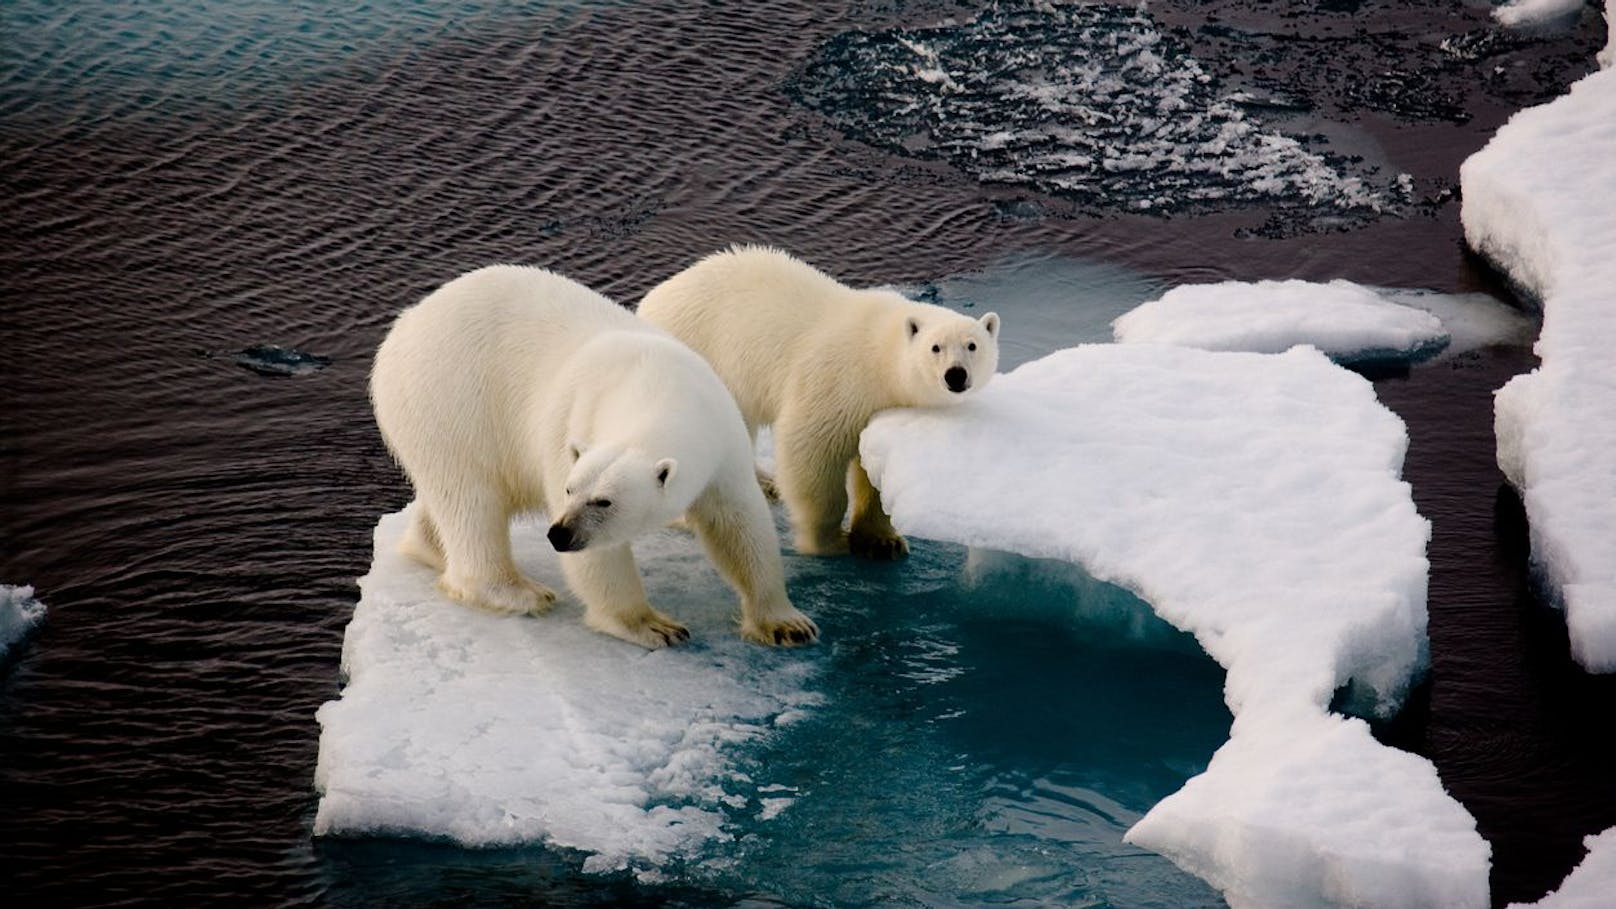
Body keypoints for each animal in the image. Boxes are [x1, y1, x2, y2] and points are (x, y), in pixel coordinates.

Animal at [370, 265, 814, 646]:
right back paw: (519, 592)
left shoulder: (721, 437)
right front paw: (653, 625)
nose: (559, 533)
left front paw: (786, 624)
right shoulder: (571, 421)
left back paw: (429, 547)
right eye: (570, 490)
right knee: (471, 499)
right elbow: (602, 560)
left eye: (604, 501)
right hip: (449, 400)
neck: (658, 385)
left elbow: (739, 523)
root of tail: (404, 325)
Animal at [633, 247, 995, 559]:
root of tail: (649, 301)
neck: (878, 354)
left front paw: (883, 542)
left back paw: (765, 483)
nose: (956, 375)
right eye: (936, 347)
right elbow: (811, 452)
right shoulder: (837, 381)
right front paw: (828, 541)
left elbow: (874, 469)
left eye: (972, 345)